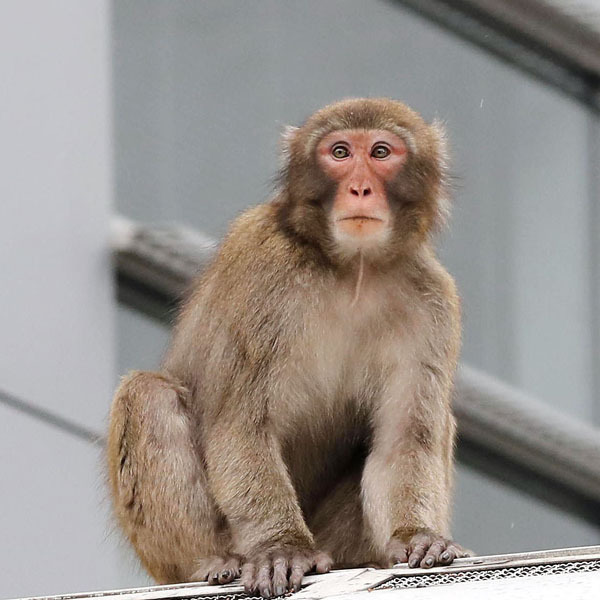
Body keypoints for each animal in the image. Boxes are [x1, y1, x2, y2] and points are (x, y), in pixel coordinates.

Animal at [108, 96, 468, 596]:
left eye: (380, 152)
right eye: (339, 152)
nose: (359, 188)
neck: (351, 271)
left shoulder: (433, 300)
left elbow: (404, 440)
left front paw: (416, 535)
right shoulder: (264, 268)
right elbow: (242, 425)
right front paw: (282, 547)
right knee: (148, 394)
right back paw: (212, 561)